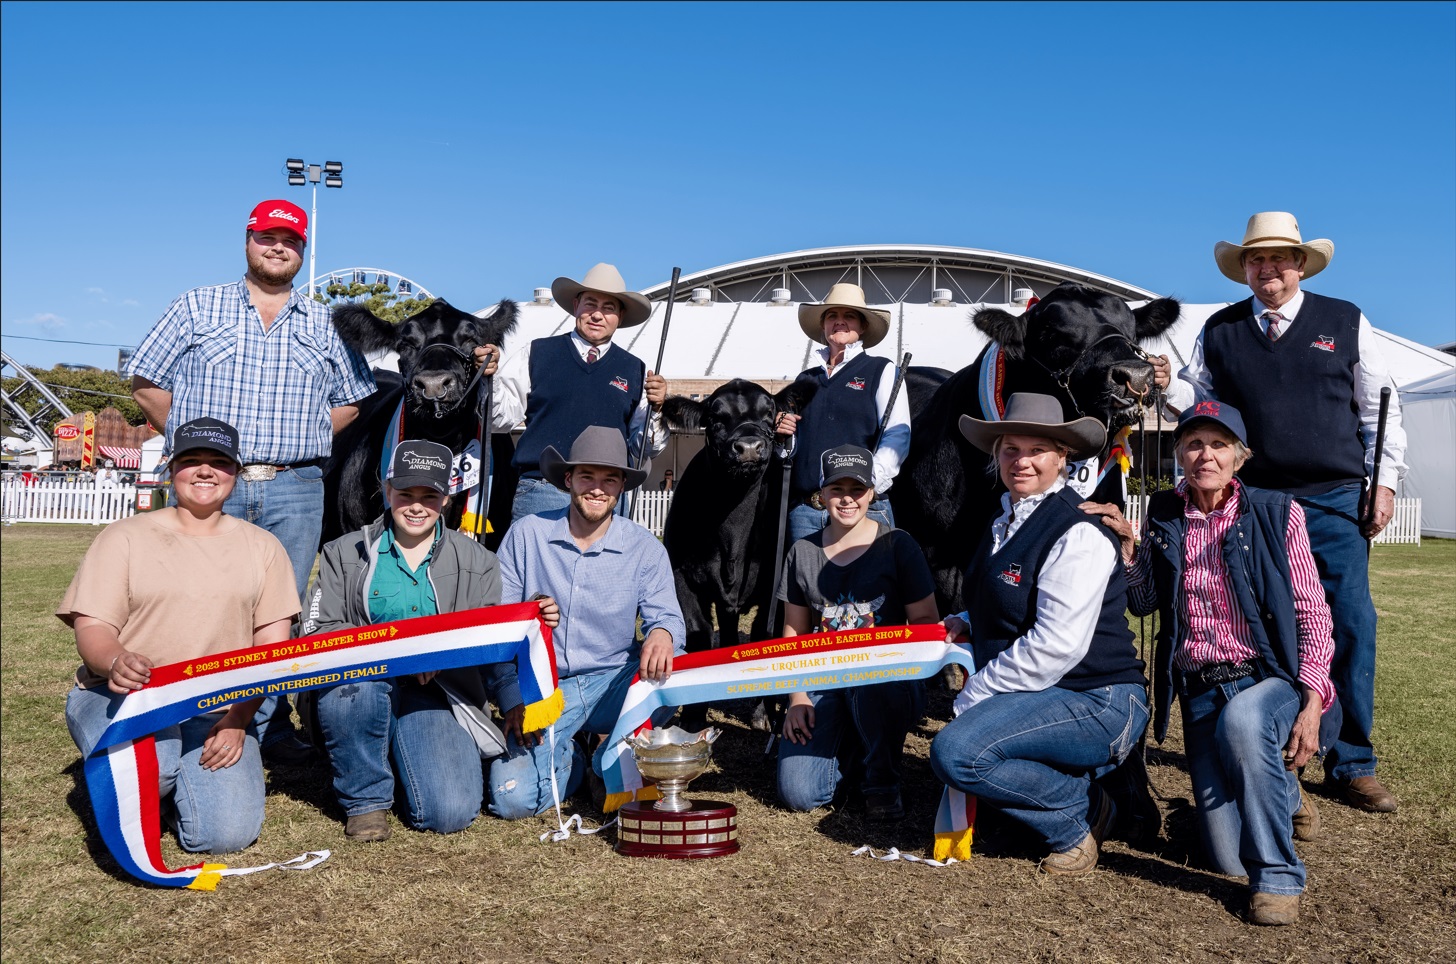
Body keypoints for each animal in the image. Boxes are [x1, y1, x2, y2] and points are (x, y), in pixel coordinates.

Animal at [661, 378, 821, 658]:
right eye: (714, 418)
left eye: (769, 414)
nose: (749, 447)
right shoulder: (682, 579)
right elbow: (698, 632)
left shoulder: (777, 591)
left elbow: (762, 633)